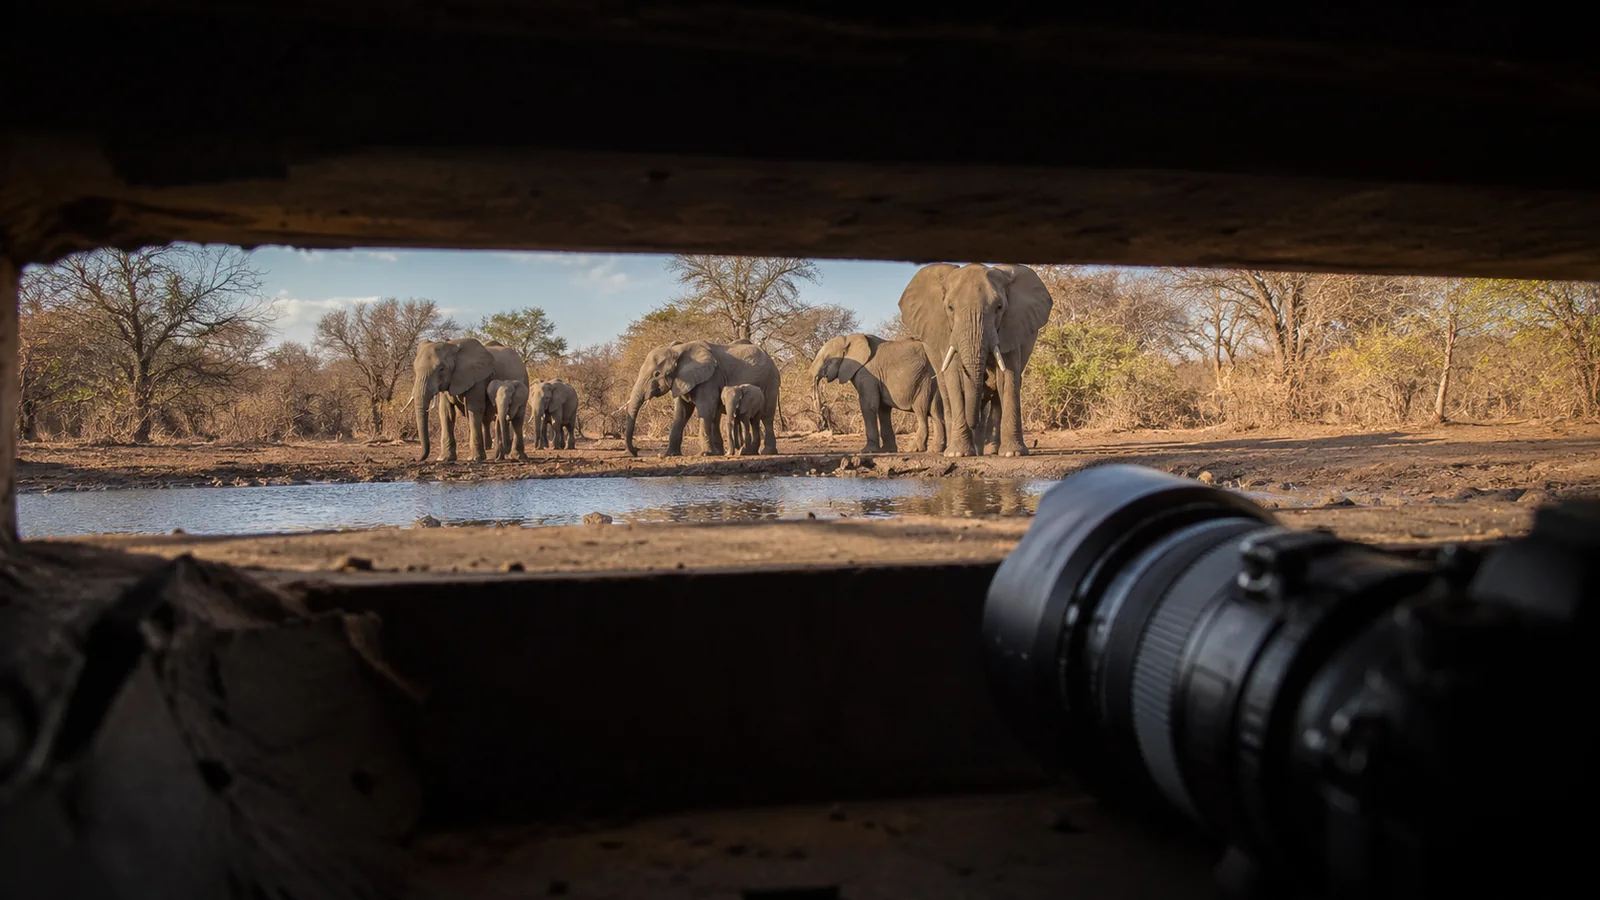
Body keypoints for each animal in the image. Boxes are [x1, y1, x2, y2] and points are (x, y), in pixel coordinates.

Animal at [623, 340, 781, 457]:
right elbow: (681, 414)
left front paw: (704, 454)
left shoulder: (710, 378)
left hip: (770, 382)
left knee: (767, 417)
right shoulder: (682, 381)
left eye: (656, 374)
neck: (678, 350)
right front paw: (668, 455)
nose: (636, 451)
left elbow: (705, 410)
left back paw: (766, 452)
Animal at [809, 332, 946, 453]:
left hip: (923, 381)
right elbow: (883, 410)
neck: (848, 338)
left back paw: (914, 449)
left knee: (921, 411)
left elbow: (868, 405)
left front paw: (867, 451)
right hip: (935, 380)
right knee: (936, 413)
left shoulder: (867, 373)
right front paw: (887, 450)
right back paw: (936, 449)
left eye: (826, 361)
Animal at [898, 263, 1053, 457]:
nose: (974, 423)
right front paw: (958, 454)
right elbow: (956, 379)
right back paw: (954, 449)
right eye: (950, 308)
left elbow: (1008, 377)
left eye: (999, 307)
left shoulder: (1009, 329)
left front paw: (1013, 453)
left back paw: (990, 450)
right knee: (945, 391)